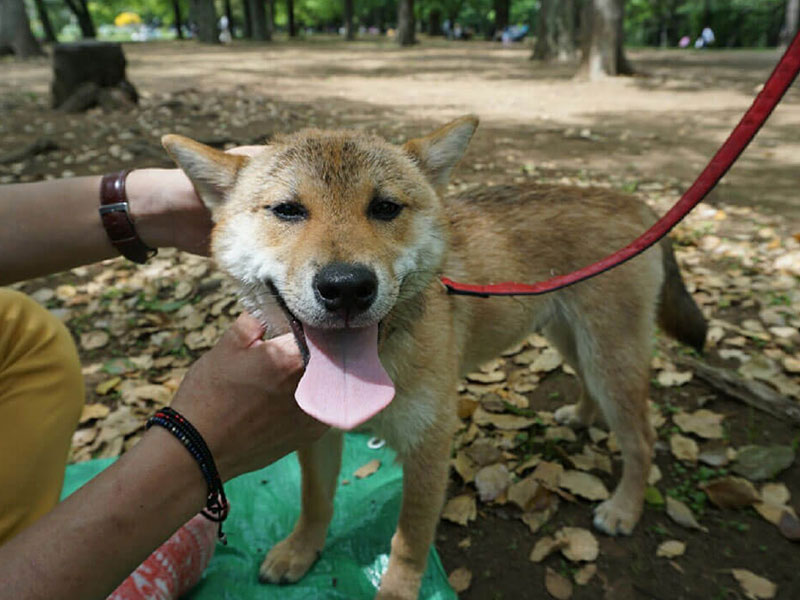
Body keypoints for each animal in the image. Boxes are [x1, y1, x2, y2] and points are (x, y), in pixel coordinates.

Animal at [162, 115, 708, 596]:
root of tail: (633, 203)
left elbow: (409, 539)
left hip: (609, 356)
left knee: (641, 439)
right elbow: (315, 502)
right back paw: (580, 415)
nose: (346, 287)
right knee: (593, 393)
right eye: (287, 210)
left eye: (385, 207)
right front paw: (300, 551)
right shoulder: (318, 437)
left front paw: (397, 591)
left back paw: (624, 508)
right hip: (572, 340)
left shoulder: (430, 442)